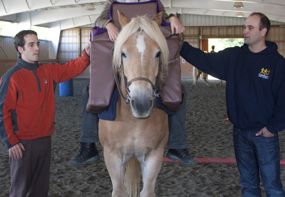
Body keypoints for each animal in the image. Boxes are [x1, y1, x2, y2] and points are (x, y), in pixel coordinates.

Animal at [98, 11, 169, 197]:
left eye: (157, 53)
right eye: (123, 53)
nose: (142, 103)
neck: (133, 121)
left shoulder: (154, 156)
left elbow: (147, 191)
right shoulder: (112, 156)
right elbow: (119, 190)